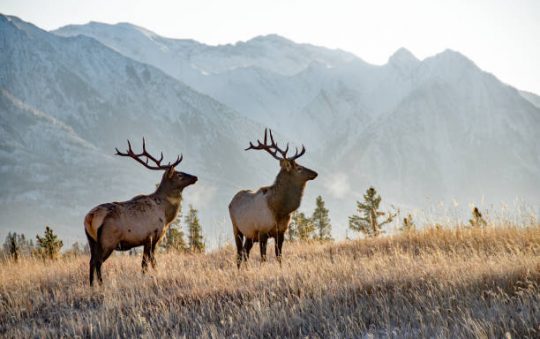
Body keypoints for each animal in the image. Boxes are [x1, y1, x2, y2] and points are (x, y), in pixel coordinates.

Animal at [86, 139, 198, 286]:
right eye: (179, 174)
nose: (195, 177)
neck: (166, 215)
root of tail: (89, 217)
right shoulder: (152, 235)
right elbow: (150, 262)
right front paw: (153, 276)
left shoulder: (147, 239)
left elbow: (144, 263)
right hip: (108, 240)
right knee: (98, 262)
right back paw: (101, 284)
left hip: (91, 241)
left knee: (91, 261)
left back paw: (92, 285)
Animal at [228, 129, 316, 268]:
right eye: (299, 168)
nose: (315, 173)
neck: (279, 210)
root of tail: (231, 202)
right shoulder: (262, 231)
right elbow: (263, 258)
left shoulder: (281, 232)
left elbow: (279, 256)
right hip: (236, 229)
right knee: (239, 254)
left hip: (250, 235)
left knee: (246, 252)